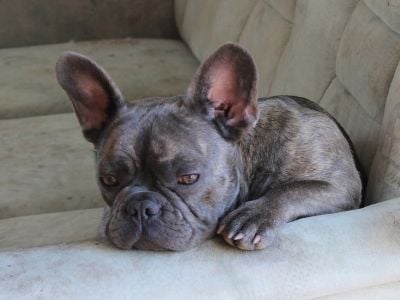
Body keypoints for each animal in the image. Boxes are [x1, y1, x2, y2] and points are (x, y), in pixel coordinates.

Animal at [54, 42, 364, 251]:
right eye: (108, 180)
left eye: (188, 178)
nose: (140, 206)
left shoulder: (340, 187)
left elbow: (293, 189)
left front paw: (254, 216)